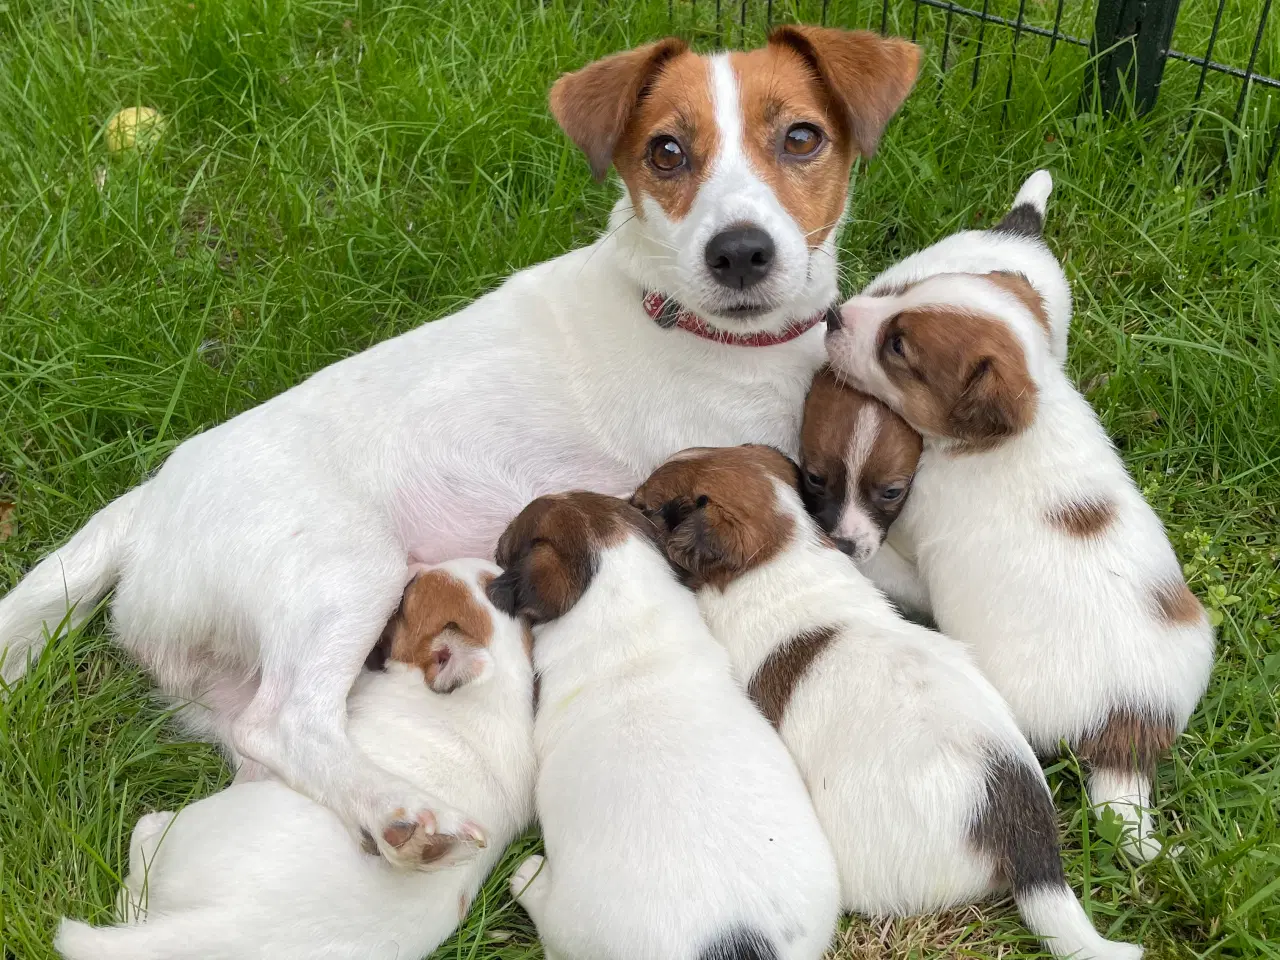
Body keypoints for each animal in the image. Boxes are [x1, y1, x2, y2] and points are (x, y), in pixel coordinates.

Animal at [0, 26, 921, 860]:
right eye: (666, 152)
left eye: (801, 137)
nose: (740, 253)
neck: (702, 325)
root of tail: (148, 503)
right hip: (344, 568)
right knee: (285, 721)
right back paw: (401, 811)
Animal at [53, 560, 535, 960]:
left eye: (409, 596)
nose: (415, 567)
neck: (494, 693)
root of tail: (227, 927)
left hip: (200, 823)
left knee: (141, 867)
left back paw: (150, 829)